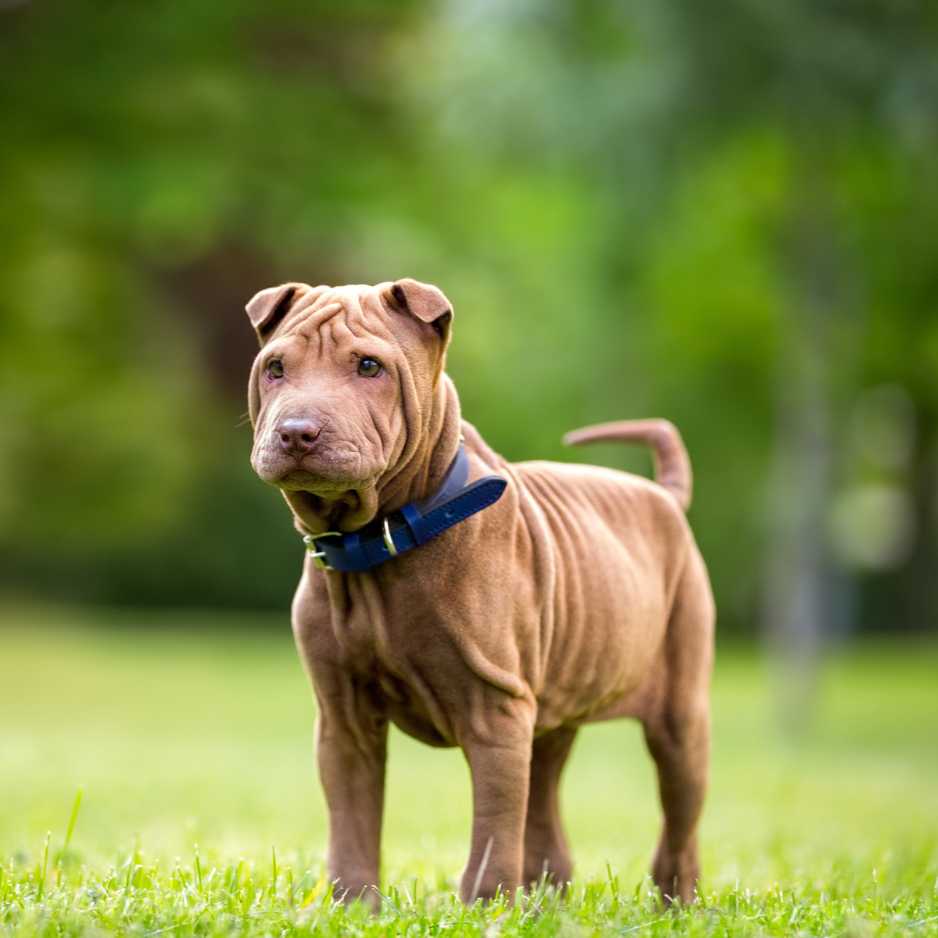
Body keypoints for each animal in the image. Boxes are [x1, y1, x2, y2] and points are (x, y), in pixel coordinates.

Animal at [245, 276, 712, 900]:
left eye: (369, 366)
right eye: (275, 368)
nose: (297, 432)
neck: (379, 543)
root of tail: (664, 497)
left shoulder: (495, 713)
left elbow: (492, 832)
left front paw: (484, 908)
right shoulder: (344, 720)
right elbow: (352, 826)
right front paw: (352, 907)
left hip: (680, 716)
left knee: (677, 830)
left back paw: (676, 904)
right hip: (551, 715)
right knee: (547, 820)